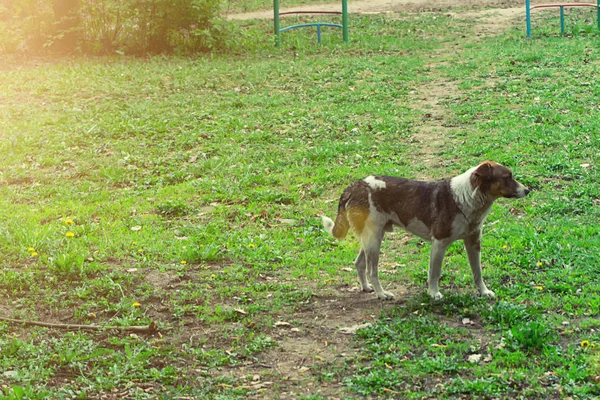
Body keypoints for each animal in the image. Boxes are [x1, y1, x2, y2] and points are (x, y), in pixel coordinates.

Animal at [324, 159, 528, 300]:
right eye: (507, 177)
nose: (528, 190)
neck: (467, 198)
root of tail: (352, 186)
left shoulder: (473, 242)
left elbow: (477, 272)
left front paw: (484, 292)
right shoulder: (439, 243)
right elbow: (434, 273)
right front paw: (433, 293)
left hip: (372, 238)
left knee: (359, 263)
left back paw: (367, 288)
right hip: (374, 240)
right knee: (371, 271)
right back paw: (381, 294)